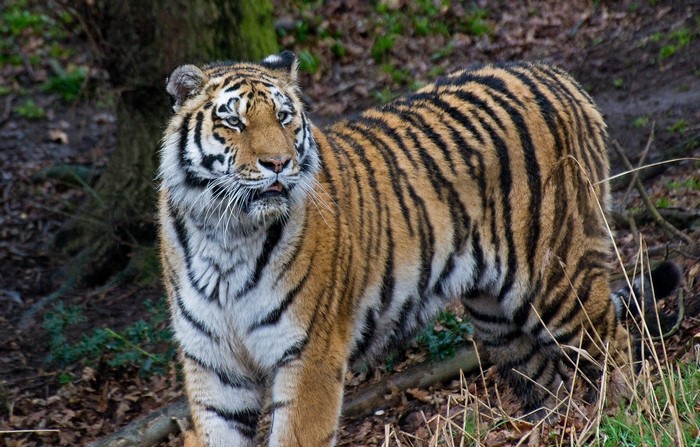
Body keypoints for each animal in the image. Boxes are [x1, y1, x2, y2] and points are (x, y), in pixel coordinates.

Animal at [157, 51, 681, 446]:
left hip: (558, 278)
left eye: (284, 118)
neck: (226, 233)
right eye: (233, 122)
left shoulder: (308, 355)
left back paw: (625, 417)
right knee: (549, 381)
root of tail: (558, 76)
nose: (279, 163)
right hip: (498, 318)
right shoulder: (214, 368)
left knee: (614, 345)